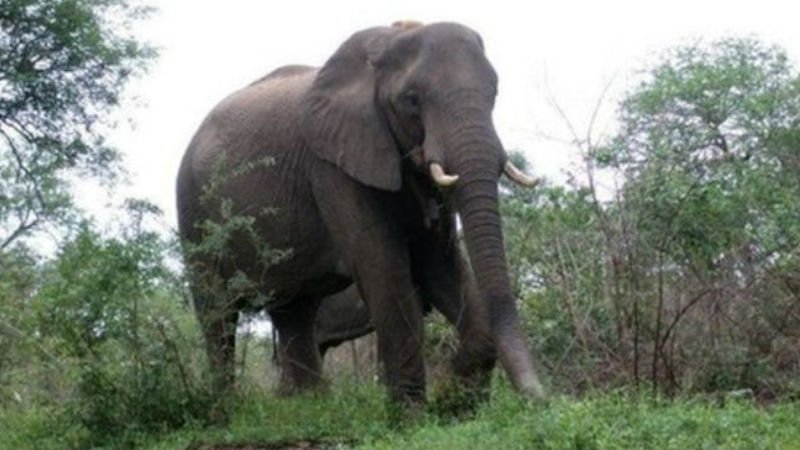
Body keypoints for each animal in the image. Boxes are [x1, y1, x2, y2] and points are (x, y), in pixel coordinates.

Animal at [176, 20, 545, 408]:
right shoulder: (332, 166)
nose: (540, 400)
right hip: (191, 204)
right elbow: (381, 264)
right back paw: (228, 409)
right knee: (217, 311)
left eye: (495, 93)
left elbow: (440, 264)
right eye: (411, 99)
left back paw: (311, 405)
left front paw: (456, 403)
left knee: (294, 311)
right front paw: (412, 414)